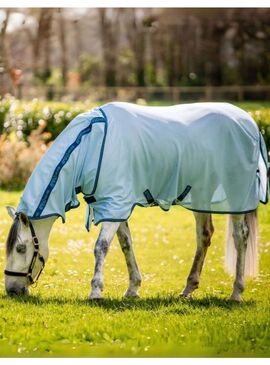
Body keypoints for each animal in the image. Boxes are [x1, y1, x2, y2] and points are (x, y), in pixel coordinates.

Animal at [4, 101, 268, 300]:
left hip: (236, 197)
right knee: (204, 236)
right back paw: (188, 289)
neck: (91, 144)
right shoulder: (114, 206)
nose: (11, 290)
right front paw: (132, 288)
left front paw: (96, 291)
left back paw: (236, 292)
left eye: (20, 248)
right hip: (201, 196)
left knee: (240, 237)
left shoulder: (115, 204)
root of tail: (250, 122)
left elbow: (101, 247)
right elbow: (125, 245)